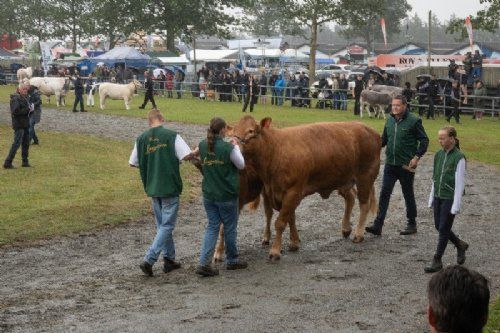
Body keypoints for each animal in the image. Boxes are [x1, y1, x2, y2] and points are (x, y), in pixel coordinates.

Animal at [232, 115, 380, 260]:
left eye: (250, 131)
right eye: (233, 130)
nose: (234, 144)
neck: (275, 150)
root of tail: (369, 129)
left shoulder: (293, 191)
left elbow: (281, 222)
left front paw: (275, 251)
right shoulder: (275, 193)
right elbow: (290, 217)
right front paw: (294, 242)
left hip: (365, 176)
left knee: (364, 205)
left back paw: (358, 234)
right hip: (344, 180)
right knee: (350, 197)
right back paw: (346, 229)